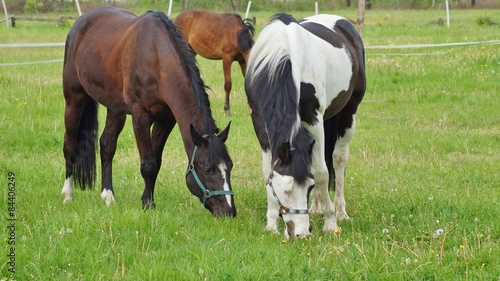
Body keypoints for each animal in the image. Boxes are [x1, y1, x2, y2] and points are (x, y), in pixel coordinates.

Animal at [60, 7, 236, 217]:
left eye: (230, 166)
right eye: (208, 169)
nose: (229, 212)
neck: (157, 58)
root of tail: (79, 24)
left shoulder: (166, 119)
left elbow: (156, 162)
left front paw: (146, 200)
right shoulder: (140, 117)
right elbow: (148, 164)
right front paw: (149, 205)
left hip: (115, 109)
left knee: (107, 145)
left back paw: (108, 196)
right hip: (74, 99)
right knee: (70, 145)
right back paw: (68, 194)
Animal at [244, 13, 366, 238]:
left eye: (308, 187)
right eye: (285, 190)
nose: (300, 233)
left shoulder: (313, 119)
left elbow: (321, 173)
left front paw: (330, 222)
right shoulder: (258, 120)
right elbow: (267, 172)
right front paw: (271, 223)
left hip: (349, 112)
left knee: (338, 160)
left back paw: (340, 211)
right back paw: (316, 208)